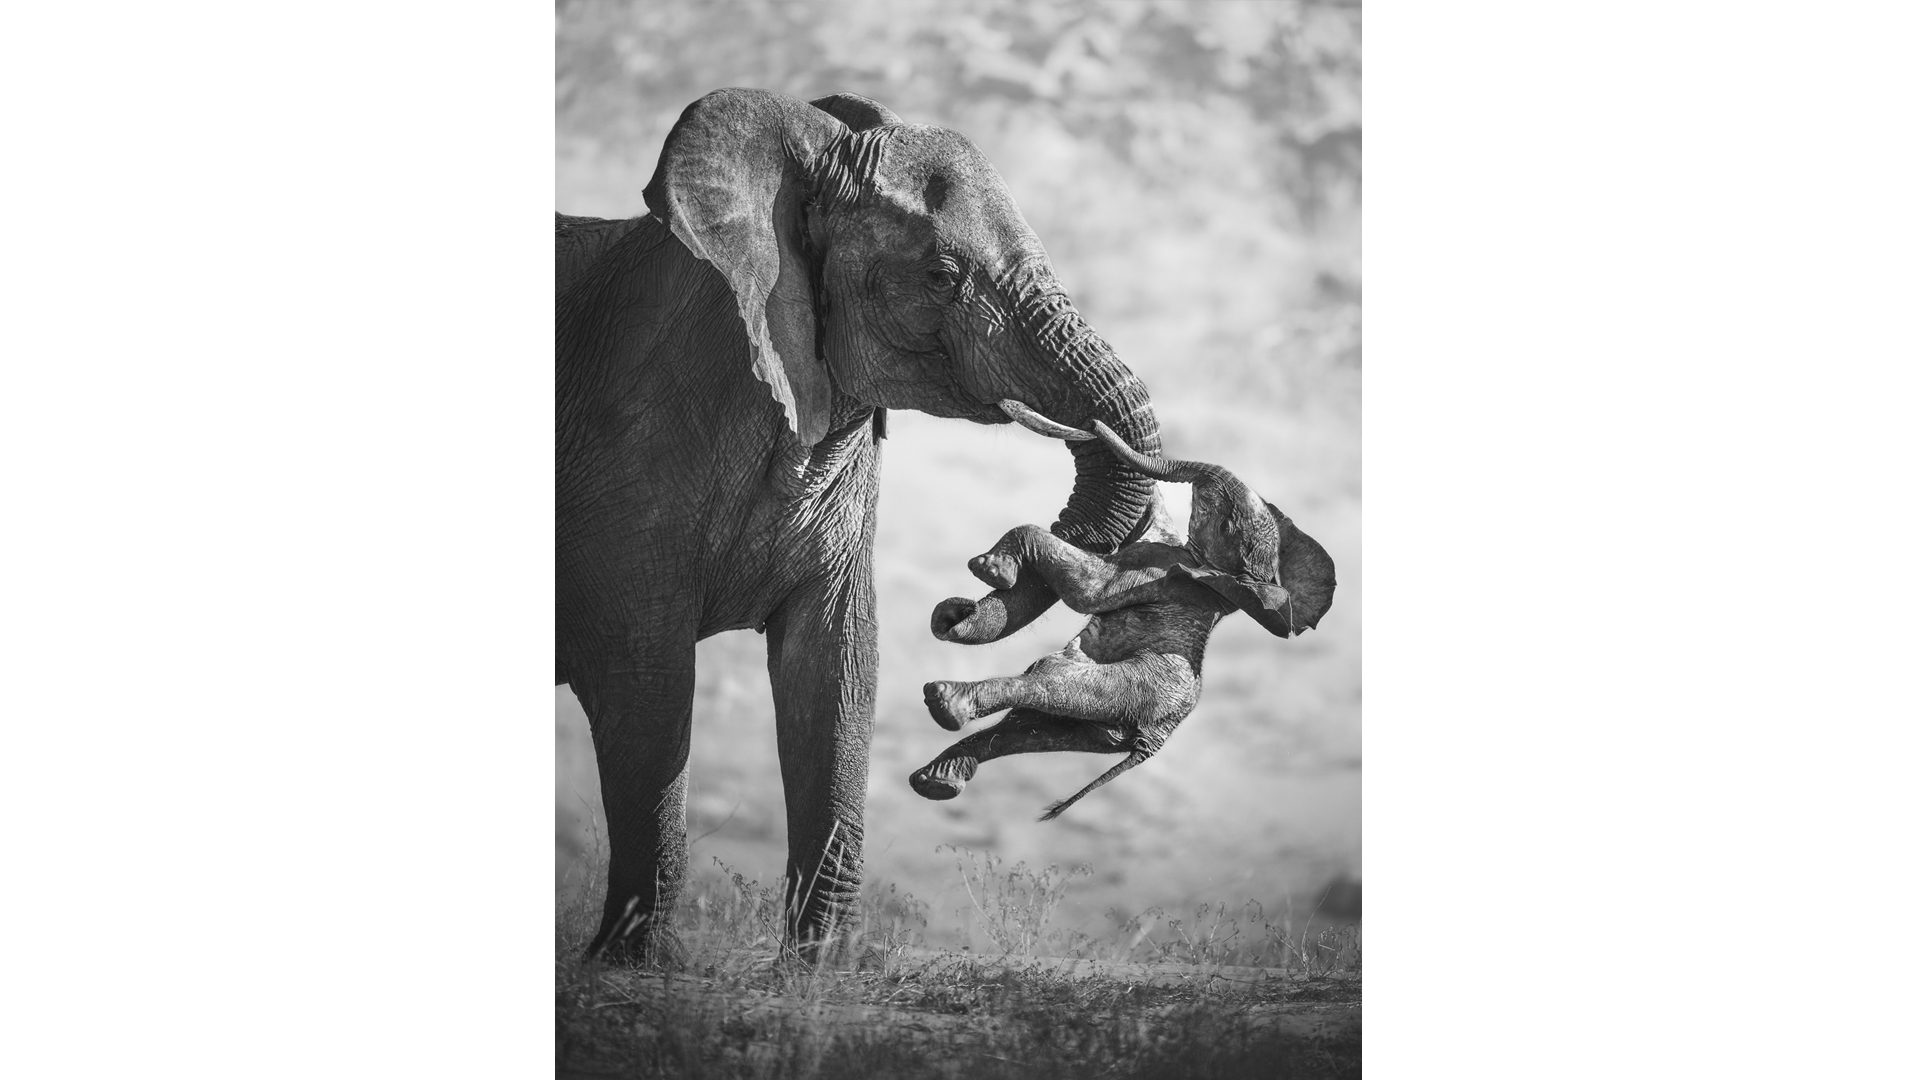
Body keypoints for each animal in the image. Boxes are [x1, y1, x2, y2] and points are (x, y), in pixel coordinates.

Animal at [555, 89, 1166, 962]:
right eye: (941, 276)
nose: (963, 598)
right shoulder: (625, 453)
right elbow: (648, 685)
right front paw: (639, 969)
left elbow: (836, 671)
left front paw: (822, 971)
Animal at [913, 412, 1336, 820]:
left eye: (1226, 522)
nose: (1091, 425)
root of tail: (1152, 742)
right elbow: (1152, 512)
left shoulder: (1157, 568)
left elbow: (1086, 591)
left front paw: (990, 570)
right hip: (1106, 724)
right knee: (1027, 727)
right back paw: (936, 780)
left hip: (1132, 689)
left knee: (1049, 684)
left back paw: (946, 703)